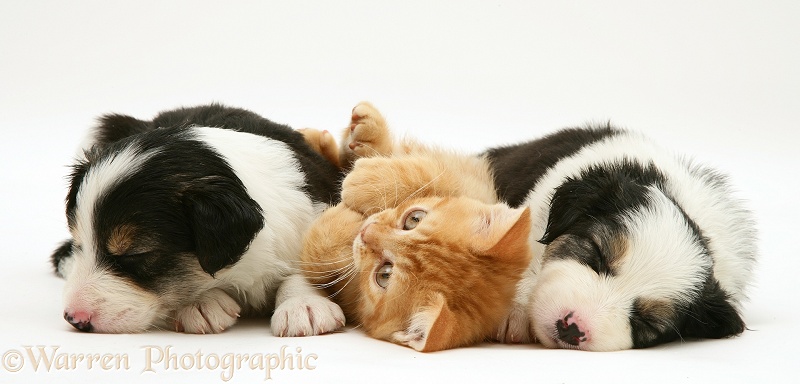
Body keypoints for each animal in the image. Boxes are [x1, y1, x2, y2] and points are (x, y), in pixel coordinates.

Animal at [51, 103, 346, 334]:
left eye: (135, 255)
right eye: (79, 243)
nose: (73, 318)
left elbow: (306, 267)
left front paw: (304, 306)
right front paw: (201, 304)